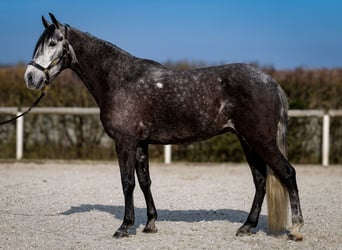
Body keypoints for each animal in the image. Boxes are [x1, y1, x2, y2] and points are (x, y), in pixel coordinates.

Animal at [23, 13, 304, 240]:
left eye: (53, 43)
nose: (30, 78)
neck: (120, 79)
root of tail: (270, 82)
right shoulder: (140, 143)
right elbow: (145, 181)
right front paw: (150, 224)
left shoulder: (124, 142)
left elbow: (127, 182)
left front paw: (125, 227)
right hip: (247, 141)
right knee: (260, 181)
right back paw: (247, 226)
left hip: (260, 140)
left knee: (287, 173)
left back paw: (297, 230)